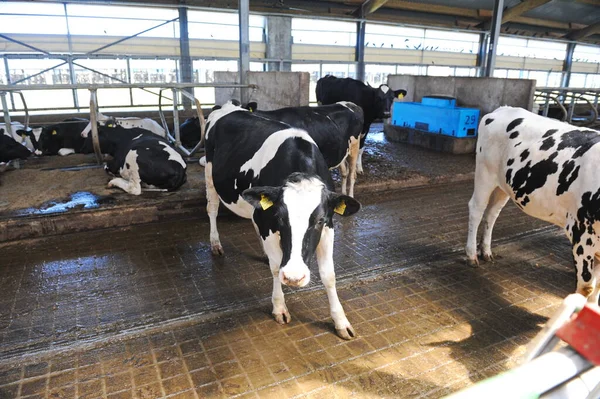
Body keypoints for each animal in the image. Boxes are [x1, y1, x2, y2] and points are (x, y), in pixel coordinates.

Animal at [204, 101, 360, 340]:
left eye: (319, 220)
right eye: (279, 216)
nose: (294, 277)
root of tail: (228, 106)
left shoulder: (329, 227)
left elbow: (329, 275)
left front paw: (340, 321)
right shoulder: (268, 222)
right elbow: (277, 268)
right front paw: (279, 307)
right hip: (210, 174)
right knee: (212, 209)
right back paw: (215, 244)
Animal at [466, 106, 600, 304]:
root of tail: (502, 109)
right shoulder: (583, 234)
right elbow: (586, 288)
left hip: (503, 185)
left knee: (492, 213)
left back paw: (486, 251)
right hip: (485, 174)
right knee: (477, 209)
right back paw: (471, 254)